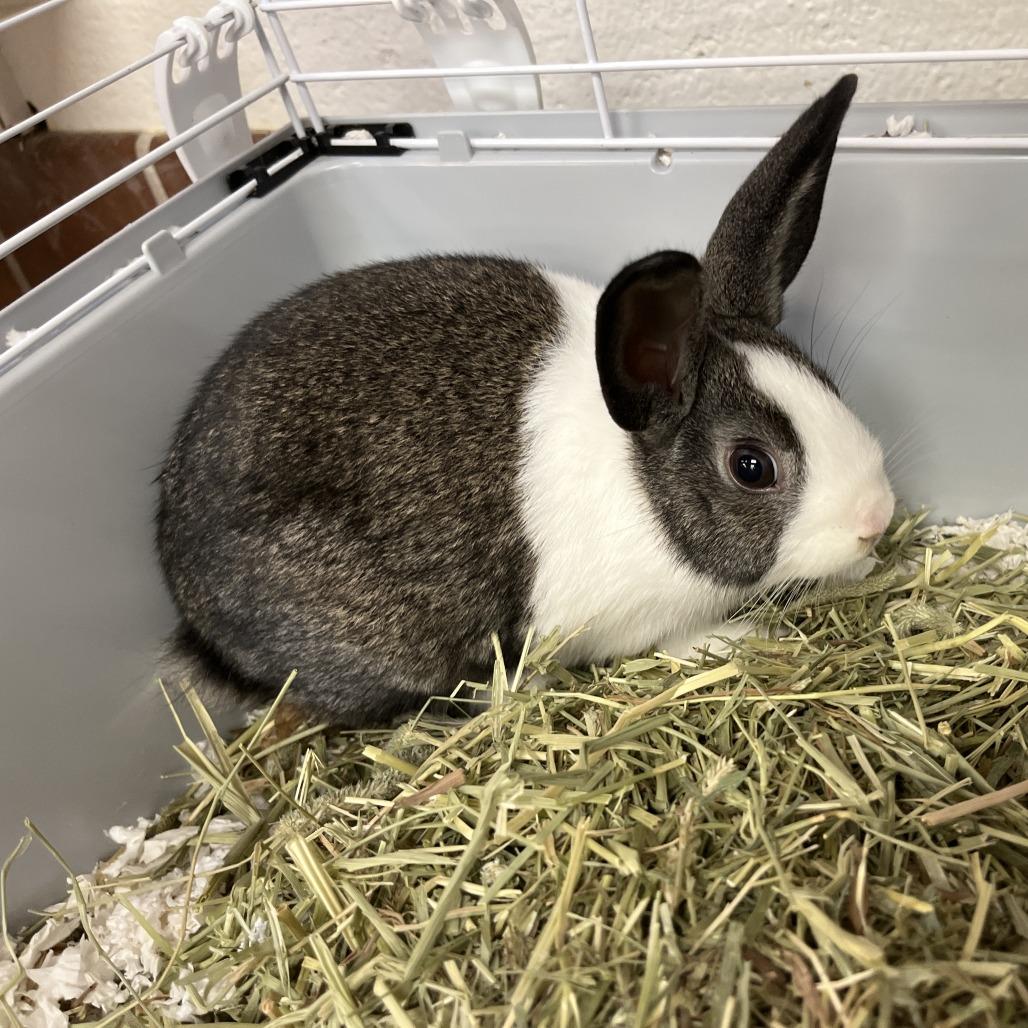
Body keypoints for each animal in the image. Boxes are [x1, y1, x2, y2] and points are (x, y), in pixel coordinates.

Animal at [157, 73, 895, 726]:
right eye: (751, 466)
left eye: (828, 384)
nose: (877, 517)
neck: (645, 483)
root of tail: (189, 604)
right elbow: (674, 643)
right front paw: (738, 640)